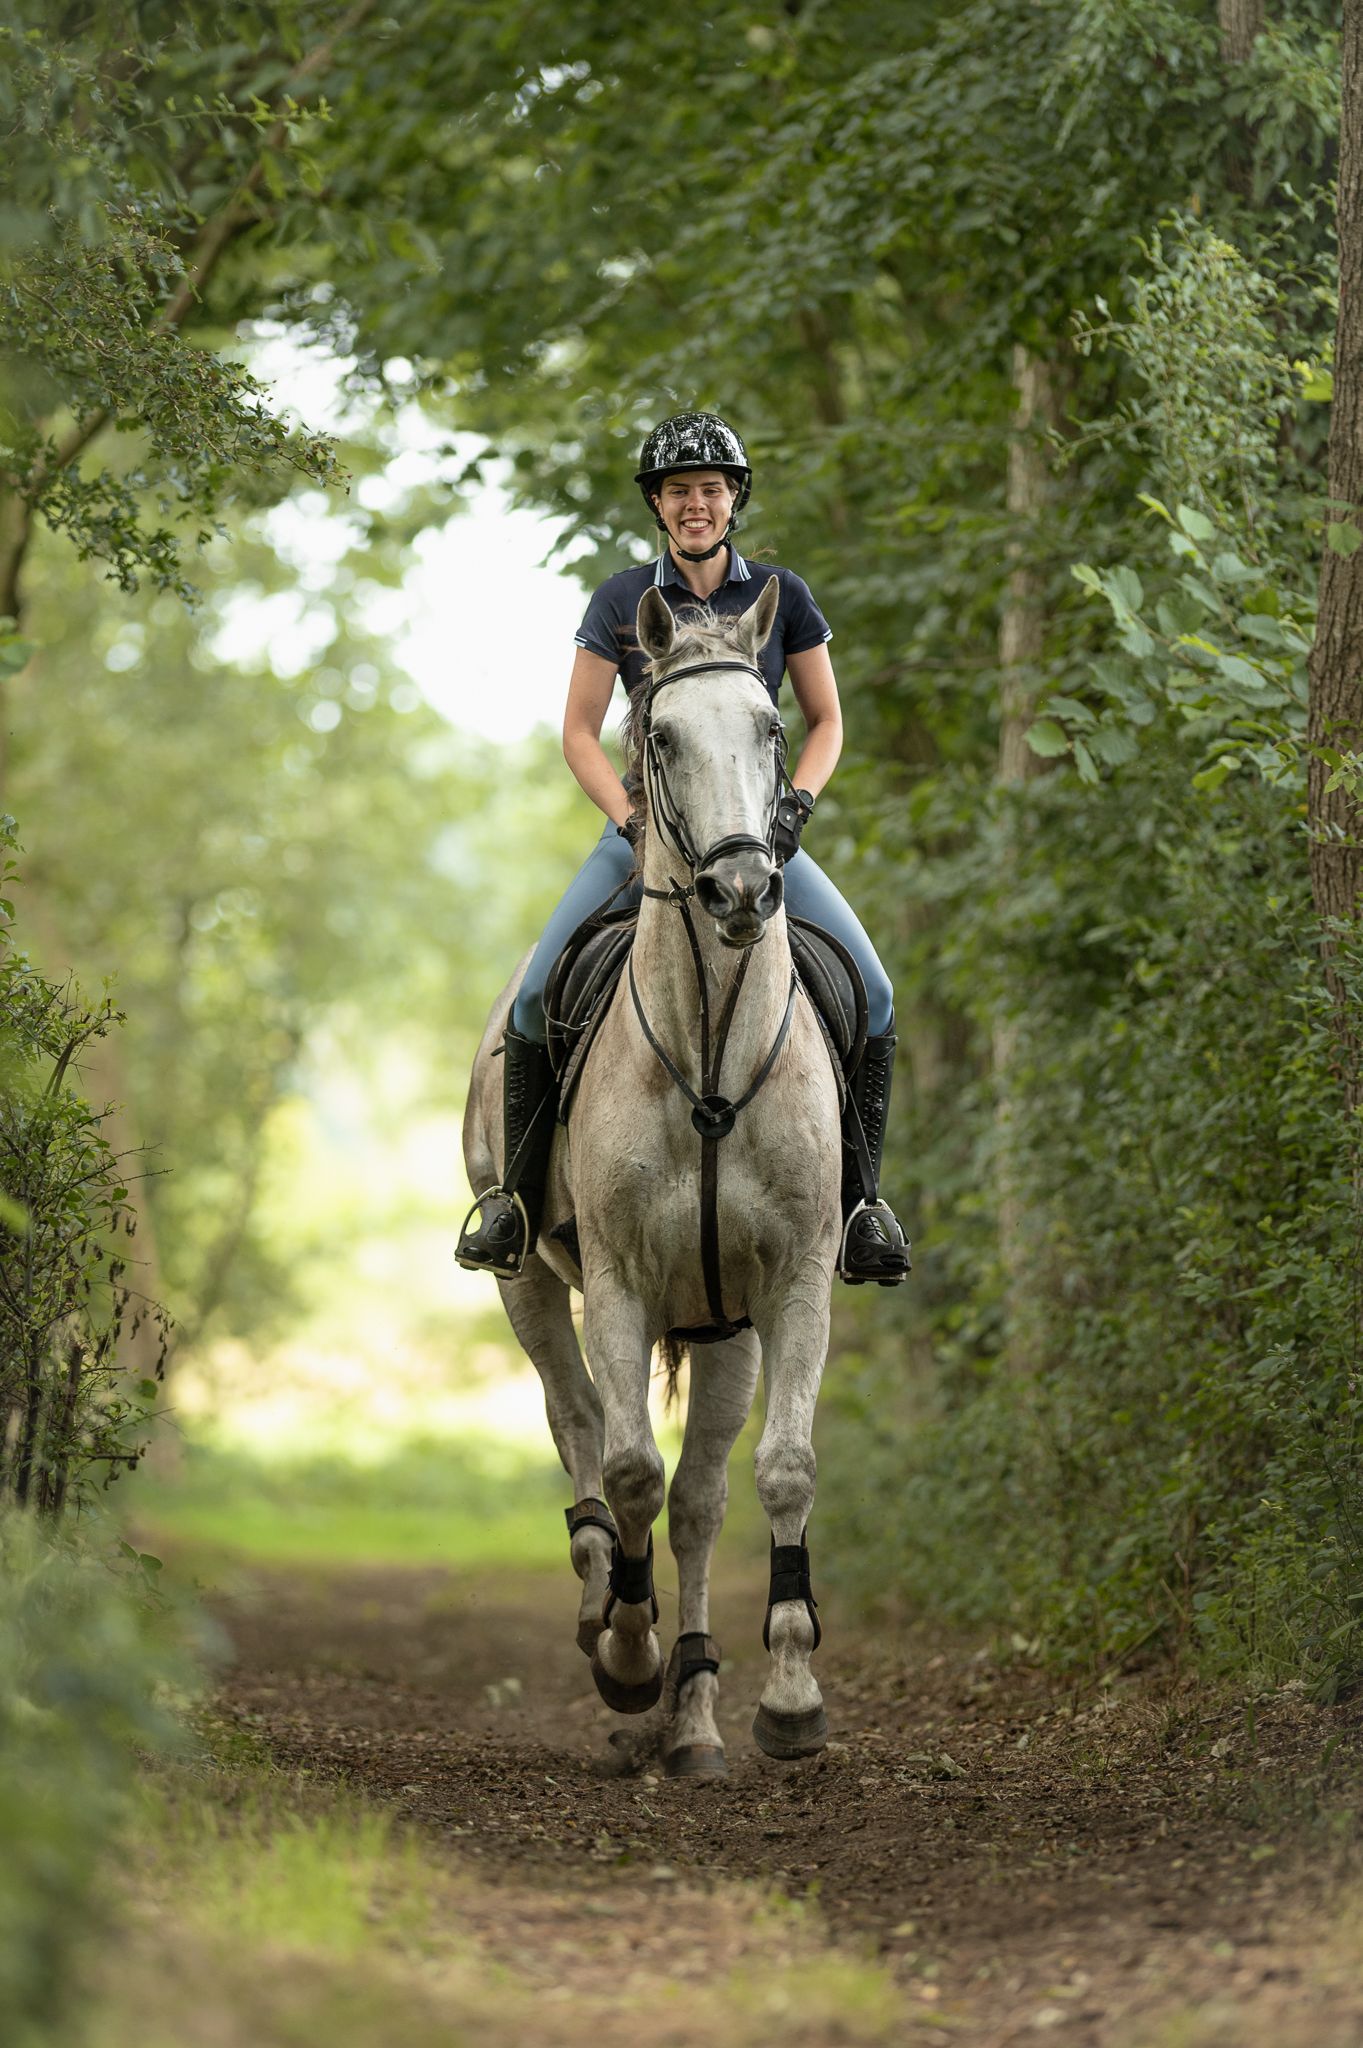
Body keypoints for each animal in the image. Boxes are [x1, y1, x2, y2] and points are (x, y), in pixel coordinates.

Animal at [462, 577, 842, 1775]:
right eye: (660, 736)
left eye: (769, 726)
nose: (740, 886)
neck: (711, 1054)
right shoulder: (622, 1284)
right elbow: (625, 1463)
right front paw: (626, 1656)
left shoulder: (792, 1283)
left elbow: (780, 1470)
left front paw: (789, 1698)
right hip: (530, 1284)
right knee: (579, 1423)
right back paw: (605, 1605)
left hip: (723, 1329)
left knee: (700, 1500)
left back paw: (698, 1712)